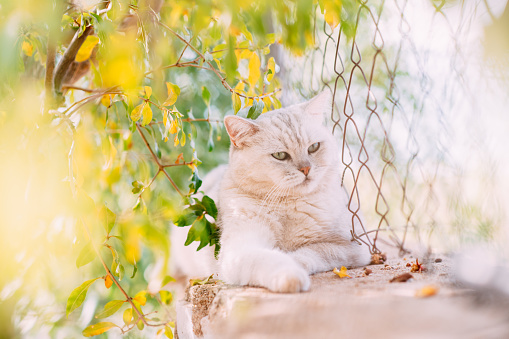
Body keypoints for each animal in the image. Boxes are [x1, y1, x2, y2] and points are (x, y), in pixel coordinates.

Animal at [171, 91, 370, 294]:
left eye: (314, 147)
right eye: (280, 155)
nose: (306, 169)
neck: (288, 204)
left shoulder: (351, 248)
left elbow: (310, 253)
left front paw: (294, 260)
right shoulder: (239, 249)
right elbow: (270, 259)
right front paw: (290, 275)